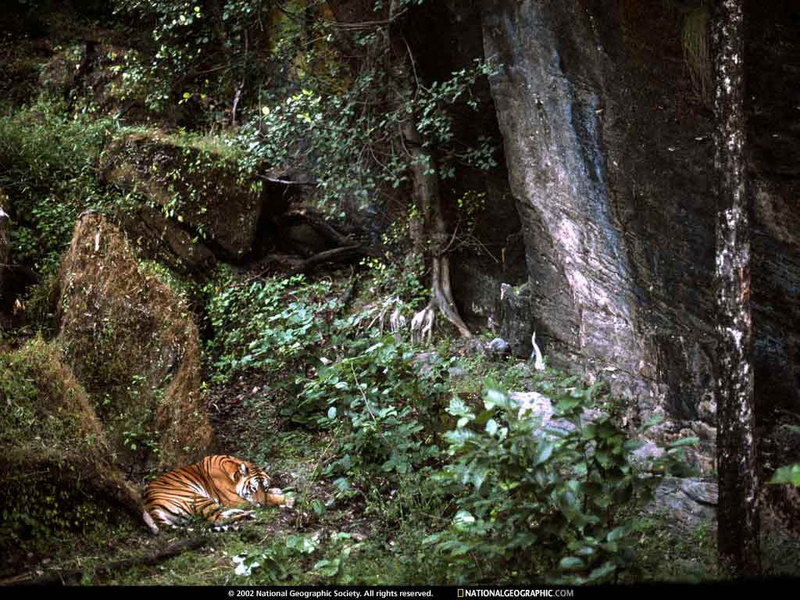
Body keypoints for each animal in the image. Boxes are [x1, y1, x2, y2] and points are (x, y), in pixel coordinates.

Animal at [144, 454, 294, 528]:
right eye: (253, 488)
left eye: (265, 487)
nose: (261, 505)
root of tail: (151, 507)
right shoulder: (234, 499)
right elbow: (270, 498)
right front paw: (288, 499)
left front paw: (277, 490)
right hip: (196, 498)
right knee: (217, 520)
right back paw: (248, 515)